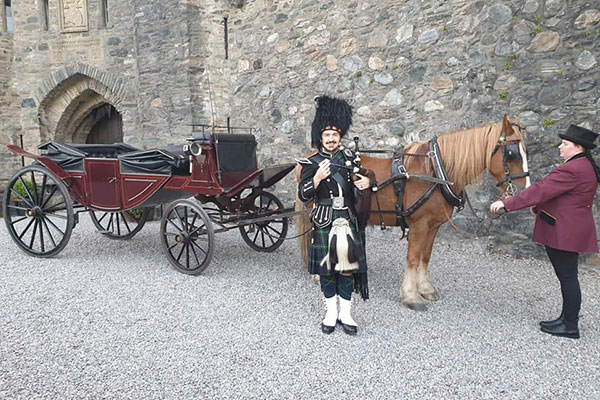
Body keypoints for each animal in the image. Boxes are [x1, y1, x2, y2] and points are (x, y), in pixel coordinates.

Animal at [296, 114, 528, 310]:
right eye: (512, 153)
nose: (523, 190)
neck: (436, 173)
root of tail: (307, 157)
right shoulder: (419, 225)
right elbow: (413, 258)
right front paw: (410, 295)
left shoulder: (433, 226)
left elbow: (425, 257)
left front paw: (424, 288)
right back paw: (319, 275)